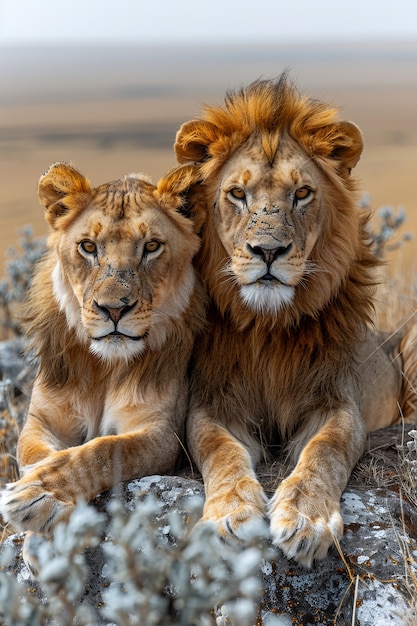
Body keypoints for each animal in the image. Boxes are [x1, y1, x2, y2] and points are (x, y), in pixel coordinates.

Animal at [0, 163, 206, 540]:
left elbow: (102, 450)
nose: (113, 309)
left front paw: (39, 495)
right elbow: (35, 456)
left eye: (151, 246)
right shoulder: (41, 420)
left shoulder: (162, 433)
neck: (105, 368)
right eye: (88, 247)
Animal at [173, 74, 416, 564]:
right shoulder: (213, 406)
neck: (269, 329)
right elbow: (220, 451)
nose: (268, 251)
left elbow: (326, 450)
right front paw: (230, 515)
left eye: (301, 193)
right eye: (237, 194)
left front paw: (306, 519)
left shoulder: (337, 403)